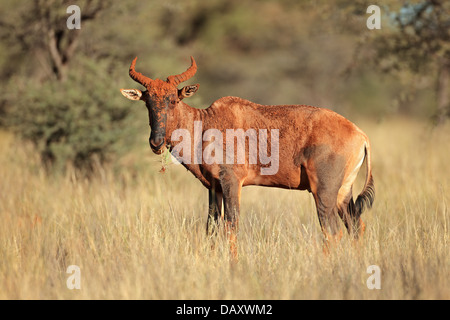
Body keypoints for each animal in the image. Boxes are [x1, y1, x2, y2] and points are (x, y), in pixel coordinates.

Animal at [121, 56, 374, 258]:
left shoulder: (232, 181)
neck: (207, 122)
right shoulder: (214, 187)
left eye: (173, 99)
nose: (156, 143)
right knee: (355, 226)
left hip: (323, 191)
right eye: (147, 102)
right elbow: (212, 227)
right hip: (343, 192)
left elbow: (231, 225)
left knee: (332, 231)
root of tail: (360, 135)